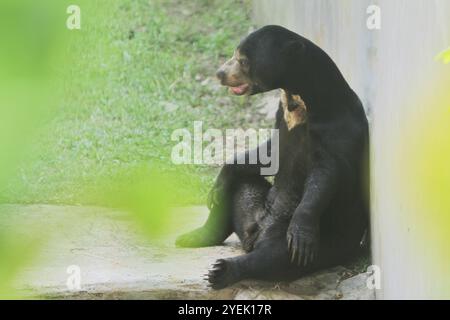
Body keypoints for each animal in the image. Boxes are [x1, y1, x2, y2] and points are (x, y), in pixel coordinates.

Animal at [176, 25, 370, 290]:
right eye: (235, 54)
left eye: (244, 61)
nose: (219, 73)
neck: (300, 101)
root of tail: (255, 234)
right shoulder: (281, 119)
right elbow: (269, 153)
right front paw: (218, 183)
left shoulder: (336, 133)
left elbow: (325, 176)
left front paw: (301, 233)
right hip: (253, 206)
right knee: (235, 192)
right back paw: (195, 235)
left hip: (325, 240)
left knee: (277, 256)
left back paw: (223, 271)